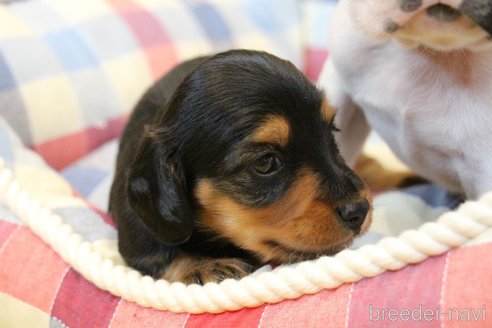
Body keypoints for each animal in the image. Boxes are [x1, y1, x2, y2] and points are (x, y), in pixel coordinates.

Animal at [109, 49, 370, 284]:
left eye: (331, 134)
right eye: (265, 162)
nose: (359, 211)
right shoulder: (138, 230)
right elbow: (162, 252)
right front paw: (206, 265)